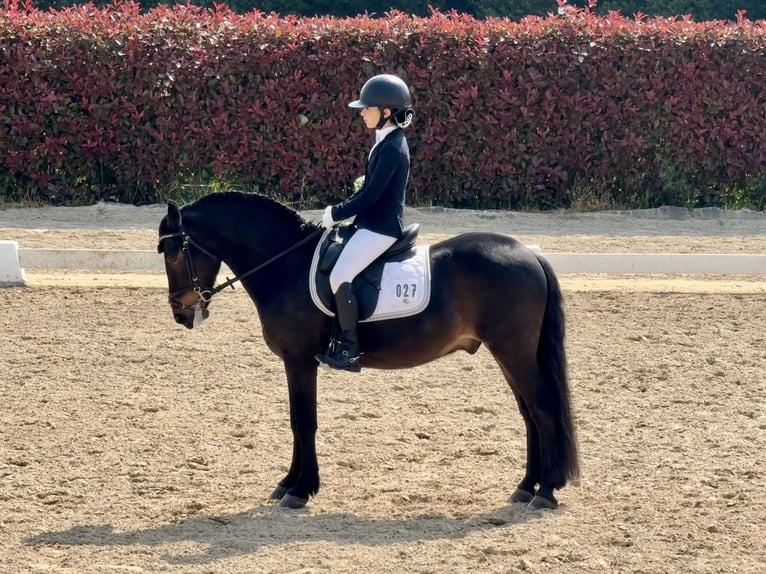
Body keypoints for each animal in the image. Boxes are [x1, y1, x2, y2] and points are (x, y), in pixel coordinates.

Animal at [157, 191, 579, 510]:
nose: (180, 313)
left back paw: (545, 492)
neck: (286, 265)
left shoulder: (299, 361)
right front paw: (289, 483)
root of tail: (529, 253)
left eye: (174, 253)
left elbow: (304, 422)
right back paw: (525, 487)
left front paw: (300, 490)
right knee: (528, 413)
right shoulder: (297, 362)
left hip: (514, 352)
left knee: (542, 409)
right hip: (509, 353)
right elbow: (296, 422)